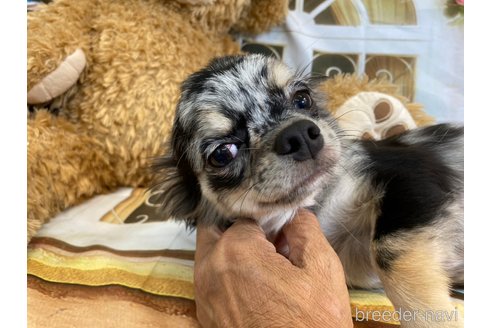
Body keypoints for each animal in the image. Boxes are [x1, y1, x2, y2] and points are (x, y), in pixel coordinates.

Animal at [152, 55, 464, 326]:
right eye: (223, 153)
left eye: (302, 99)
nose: (300, 134)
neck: (320, 206)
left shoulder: (408, 174)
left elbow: (388, 253)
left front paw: (432, 318)